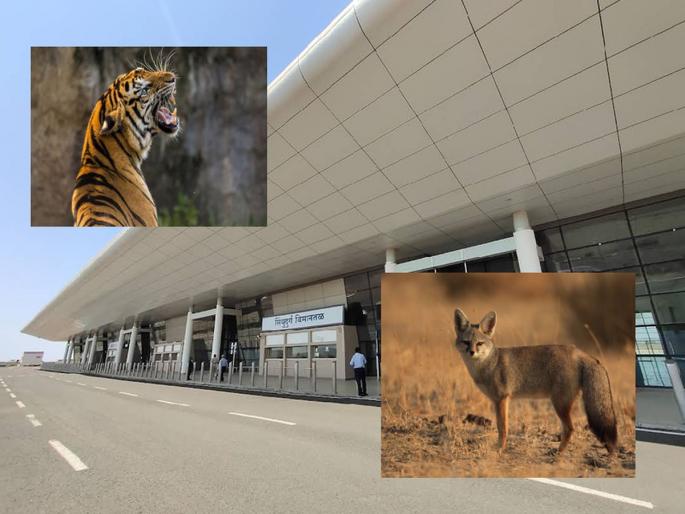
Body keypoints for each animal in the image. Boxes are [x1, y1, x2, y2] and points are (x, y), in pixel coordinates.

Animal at [454, 308, 618, 456]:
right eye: (466, 342)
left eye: (479, 343)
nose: (472, 352)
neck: (490, 364)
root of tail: (579, 352)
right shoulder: (500, 400)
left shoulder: (502, 399)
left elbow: (502, 428)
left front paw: (500, 449)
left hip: (559, 404)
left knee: (570, 429)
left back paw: (558, 453)